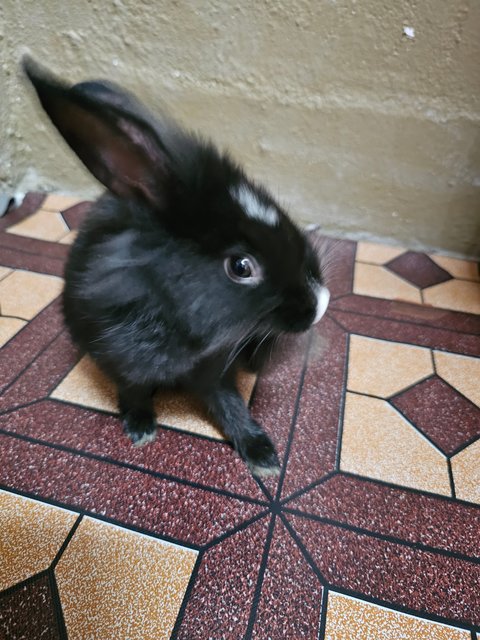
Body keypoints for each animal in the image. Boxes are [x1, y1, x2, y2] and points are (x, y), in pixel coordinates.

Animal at [23, 57, 330, 478]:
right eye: (241, 266)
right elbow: (134, 392)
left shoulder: (216, 368)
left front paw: (263, 455)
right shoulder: (124, 362)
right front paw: (140, 429)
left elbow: (230, 404)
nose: (321, 302)